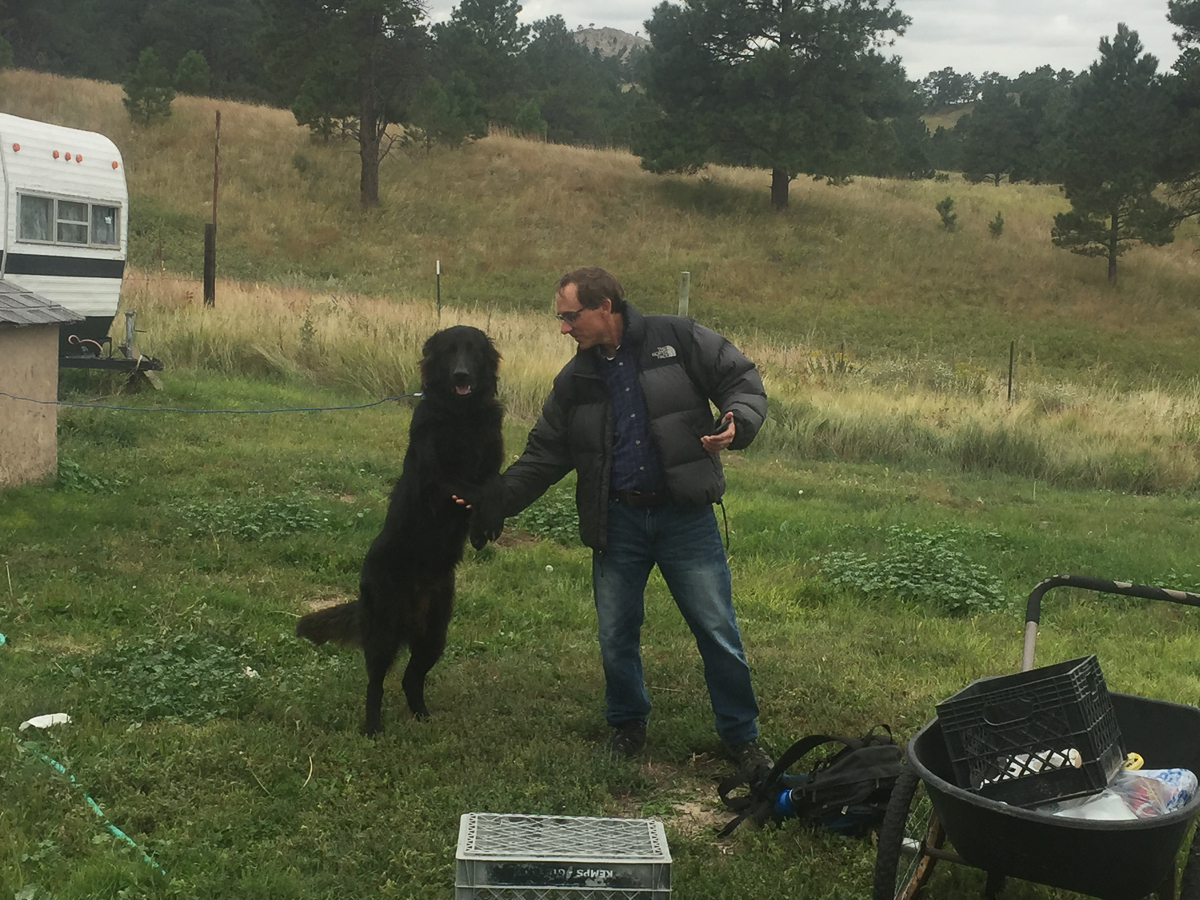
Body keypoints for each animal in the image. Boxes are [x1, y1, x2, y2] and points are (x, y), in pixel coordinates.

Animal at [302, 328, 508, 734]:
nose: (461, 375)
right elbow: (471, 488)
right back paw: (372, 728)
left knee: (411, 677)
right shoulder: (433, 478)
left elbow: (492, 485)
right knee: (376, 682)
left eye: (473, 351)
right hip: (384, 629)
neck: (463, 415)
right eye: (449, 352)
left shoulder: (492, 457)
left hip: (434, 633)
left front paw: (484, 526)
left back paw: (423, 717)